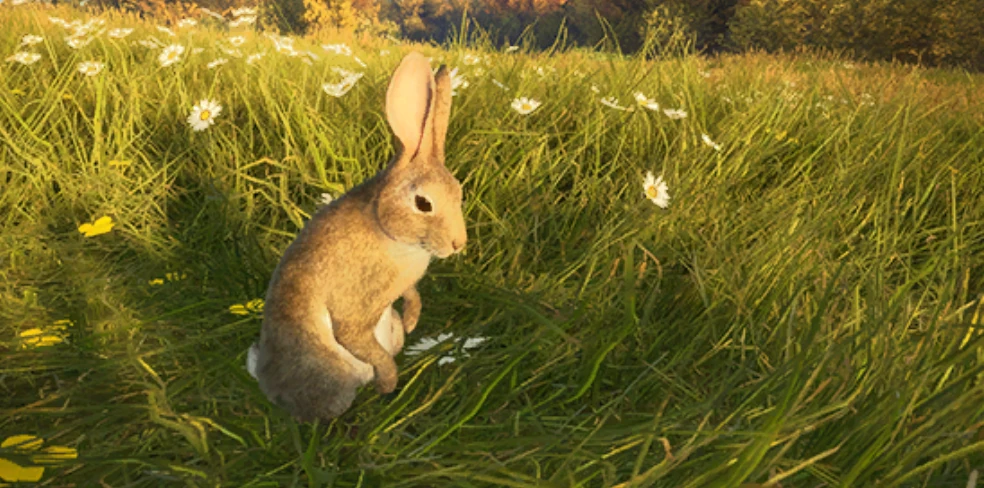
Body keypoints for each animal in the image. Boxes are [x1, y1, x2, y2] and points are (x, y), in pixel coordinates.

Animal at [248, 51, 467, 422]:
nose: (458, 244)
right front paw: (389, 383)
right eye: (423, 203)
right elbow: (356, 336)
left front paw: (412, 322)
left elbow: (411, 294)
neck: (388, 229)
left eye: (459, 193)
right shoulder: (355, 309)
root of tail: (262, 376)